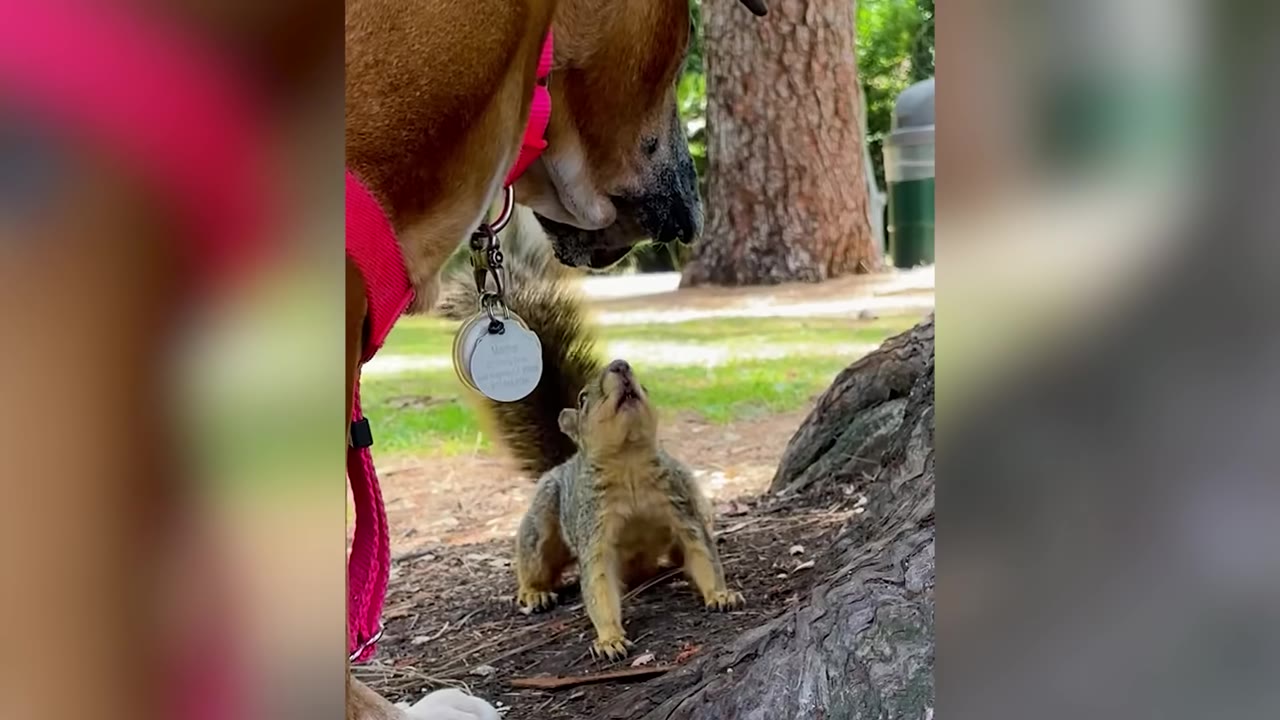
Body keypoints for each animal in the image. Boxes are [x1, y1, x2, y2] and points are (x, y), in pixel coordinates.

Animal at [435, 209, 744, 659]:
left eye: (645, 386)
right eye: (583, 398)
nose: (621, 366)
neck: (629, 462)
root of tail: (566, 462)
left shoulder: (679, 508)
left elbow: (702, 552)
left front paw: (721, 595)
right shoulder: (594, 530)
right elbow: (596, 583)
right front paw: (610, 638)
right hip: (544, 520)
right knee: (532, 558)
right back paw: (533, 592)